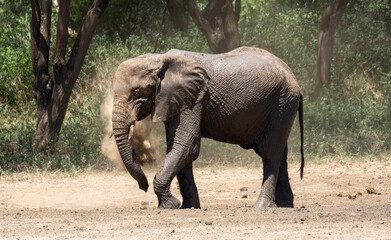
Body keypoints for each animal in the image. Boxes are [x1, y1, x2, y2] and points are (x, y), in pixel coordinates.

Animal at [112, 46, 304, 208]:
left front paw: (170, 206)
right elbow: (177, 148)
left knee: (269, 151)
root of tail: (293, 77)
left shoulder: (193, 100)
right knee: (279, 151)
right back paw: (285, 204)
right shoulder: (176, 100)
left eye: (138, 92)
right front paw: (188, 207)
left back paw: (263, 206)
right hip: (281, 105)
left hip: (282, 102)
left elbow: (187, 146)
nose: (142, 187)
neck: (159, 59)